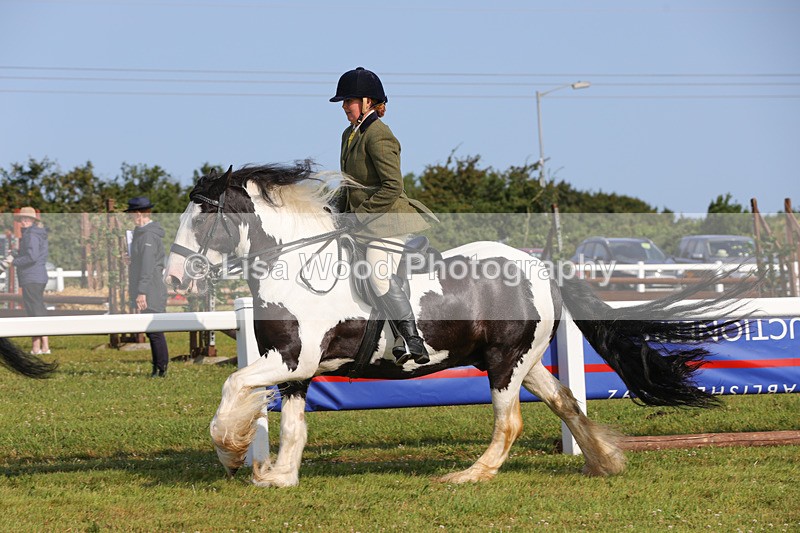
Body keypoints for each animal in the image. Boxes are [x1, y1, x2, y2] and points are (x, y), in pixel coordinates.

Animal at [165, 162, 744, 487]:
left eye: (204, 214)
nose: (173, 276)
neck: (296, 263)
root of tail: (543, 268)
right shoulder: (295, 367)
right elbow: (292, 425)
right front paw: (279, 477)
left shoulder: (292, 359)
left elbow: (233, 385)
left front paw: (231, 452)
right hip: (522, 359)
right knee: (564, 401)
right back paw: (604, 463)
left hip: (505, 363)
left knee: (510, 422)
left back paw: (469, 475)